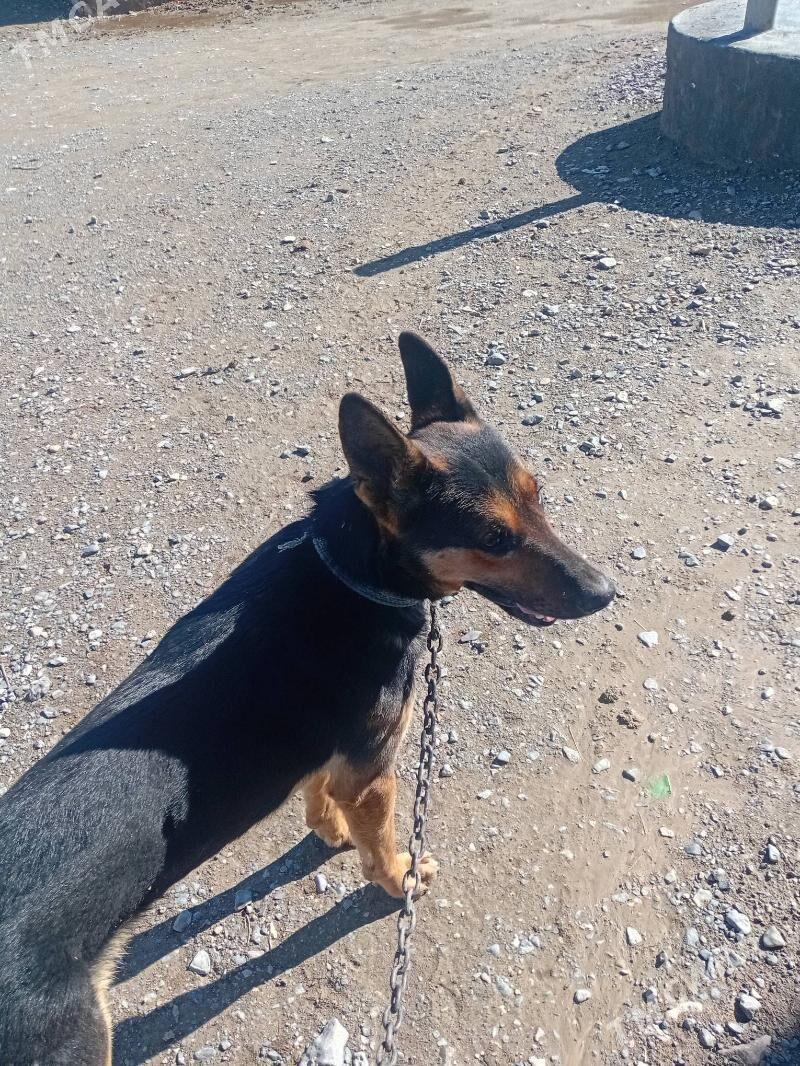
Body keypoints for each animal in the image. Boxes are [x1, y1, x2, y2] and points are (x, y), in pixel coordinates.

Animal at [0, 332, 614, 1064]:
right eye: (494, 538)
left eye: (537, 494)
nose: (606, 592)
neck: (354, 571)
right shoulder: (374, 773)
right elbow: (382, 848)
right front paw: (401, 875)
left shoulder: (336, 760)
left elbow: (318, 793)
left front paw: (328, 830)